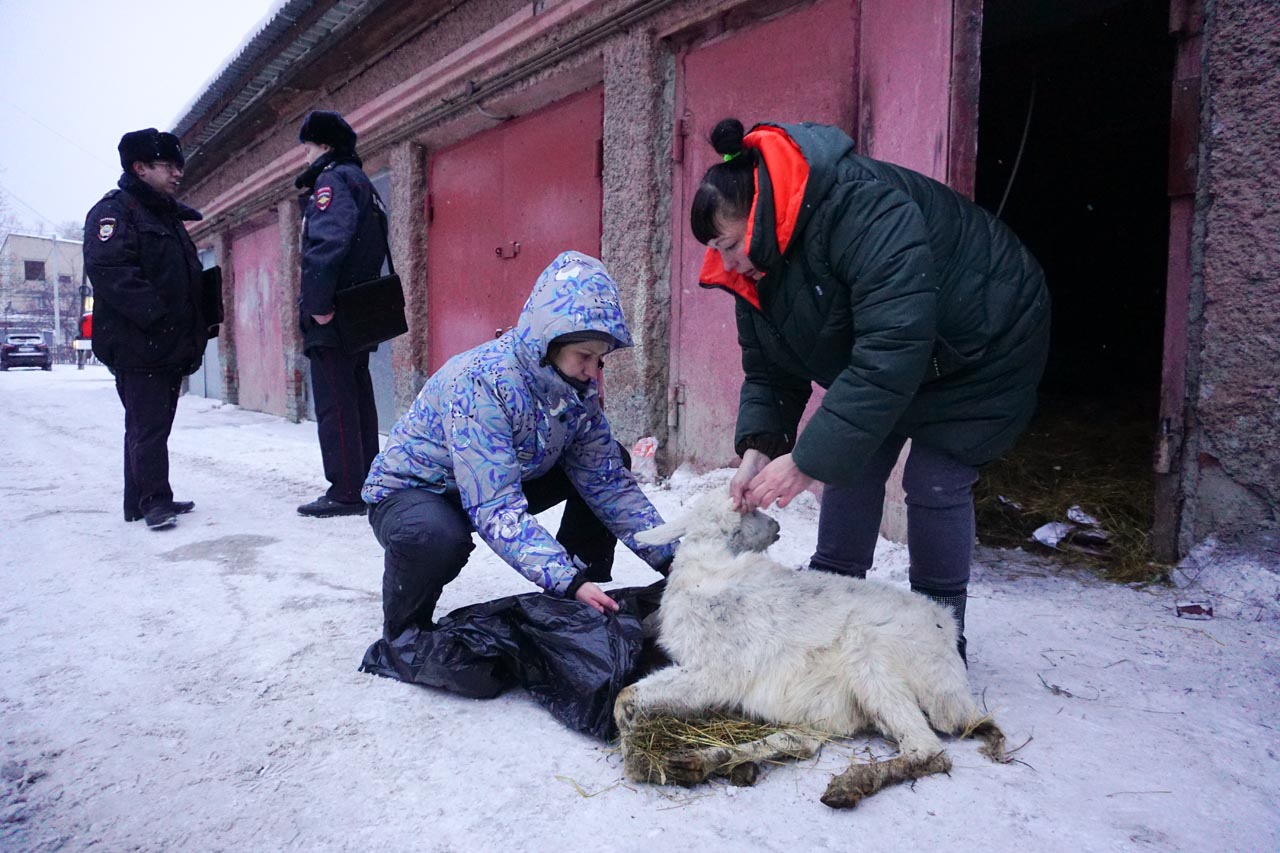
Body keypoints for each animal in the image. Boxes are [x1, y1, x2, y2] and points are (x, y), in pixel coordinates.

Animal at [619, 491, 1008, 804]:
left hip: (873, 665)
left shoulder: (716, 670)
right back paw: (708, 763)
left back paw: (848, 785)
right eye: (752, 510)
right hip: (827, 702)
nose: (777, 524)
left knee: (927, 749)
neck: (707, 567)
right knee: (801, 742)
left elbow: (626, 698)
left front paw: (635, 757)